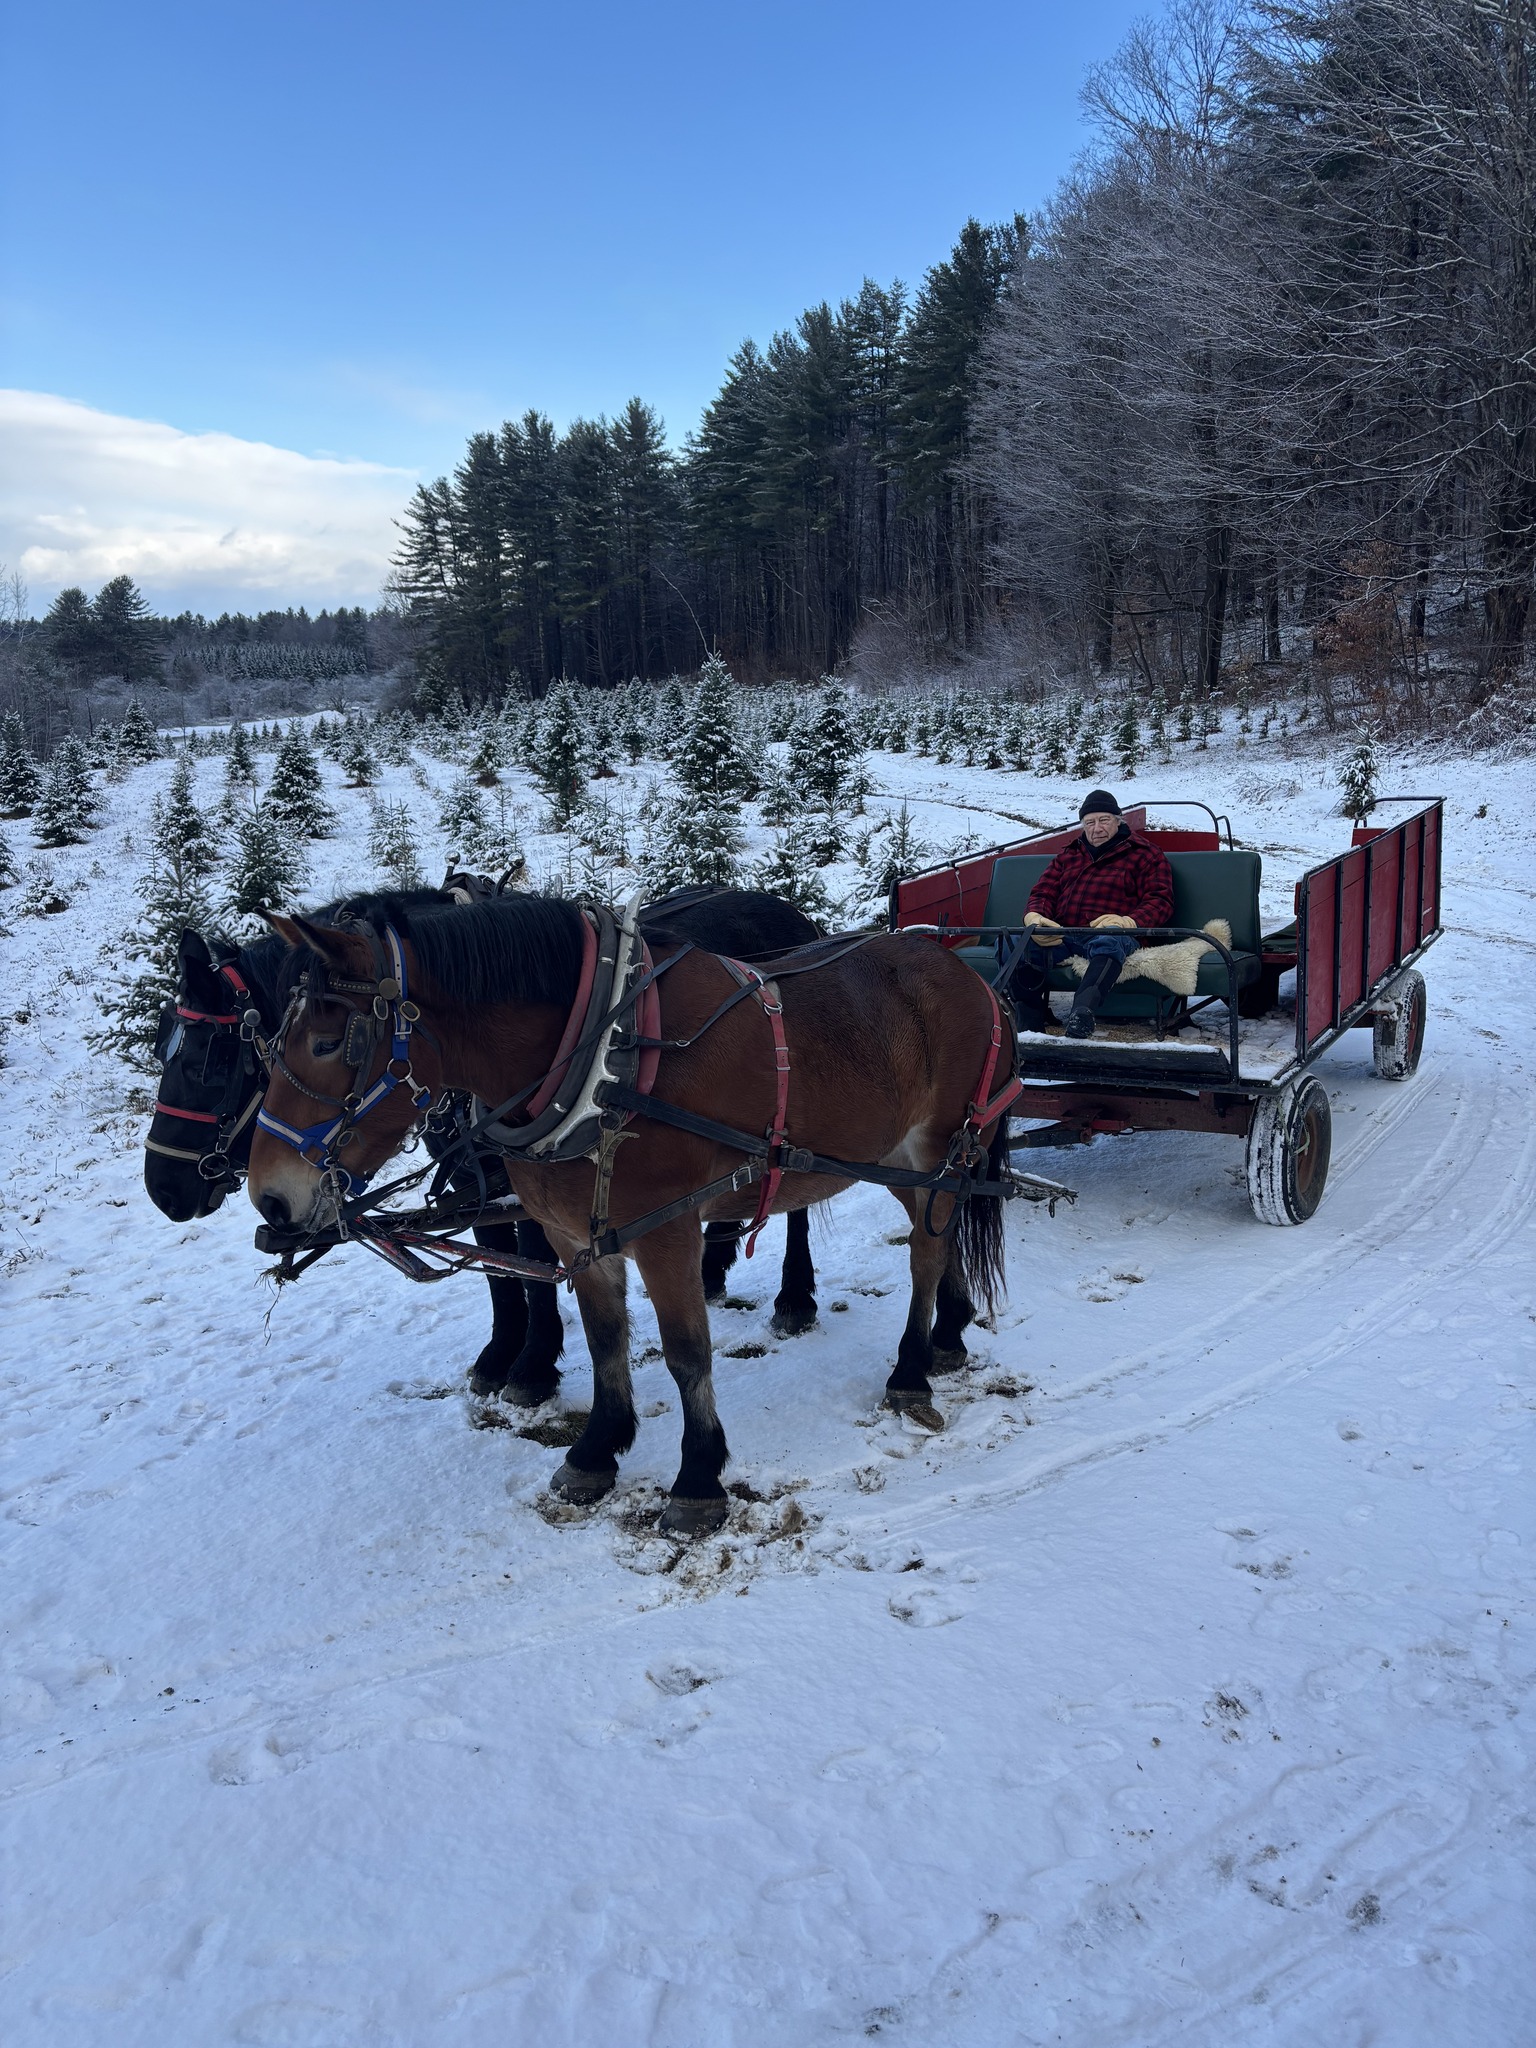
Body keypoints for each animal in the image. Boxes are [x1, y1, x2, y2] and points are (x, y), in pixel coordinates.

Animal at [143, 889, 824, 1407]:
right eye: (160, 1048)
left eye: (210, 1060)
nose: (163, 1190)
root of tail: (789, 910)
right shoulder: (479, 1185)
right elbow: (501, 1272)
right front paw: (501, 1355)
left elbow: (537, 1270)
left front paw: (534, 1365)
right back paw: (713, 1265)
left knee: (796, 1204)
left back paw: (795, 1296)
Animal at [245, 891, 1018, 1534]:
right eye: (267, 1044)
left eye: (326, 1043)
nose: (270, 1198)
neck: (596, 1063)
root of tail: (970, 975)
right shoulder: (574, 1232)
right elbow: (604, 1339)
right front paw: (596, 1450)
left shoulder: (668, 1229)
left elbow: (685, 1351)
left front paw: (698, 1477)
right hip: (894, 1159)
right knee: (939, 1238)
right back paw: (948, 1333)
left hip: (938, 1149)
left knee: (924, 1253)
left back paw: (910, 1370)